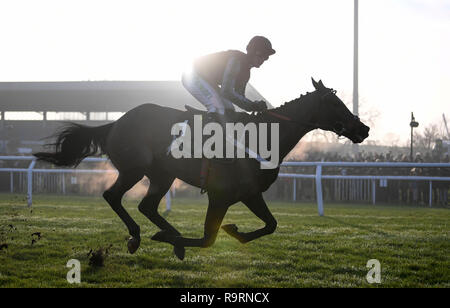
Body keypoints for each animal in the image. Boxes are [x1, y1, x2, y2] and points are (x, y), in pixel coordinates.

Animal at [34, 79, 370, 260]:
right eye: (335, 104)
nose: (363, 129)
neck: (260, 137)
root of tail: (115, 122)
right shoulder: (220, 195)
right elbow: (209, 238)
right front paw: (180, 240)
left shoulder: (249, 194)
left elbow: (271, 225)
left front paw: (234, 231)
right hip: (135, 169)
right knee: (113, 196)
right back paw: (140, 236)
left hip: (162, 175)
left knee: (146, 205)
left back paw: (163, 233)